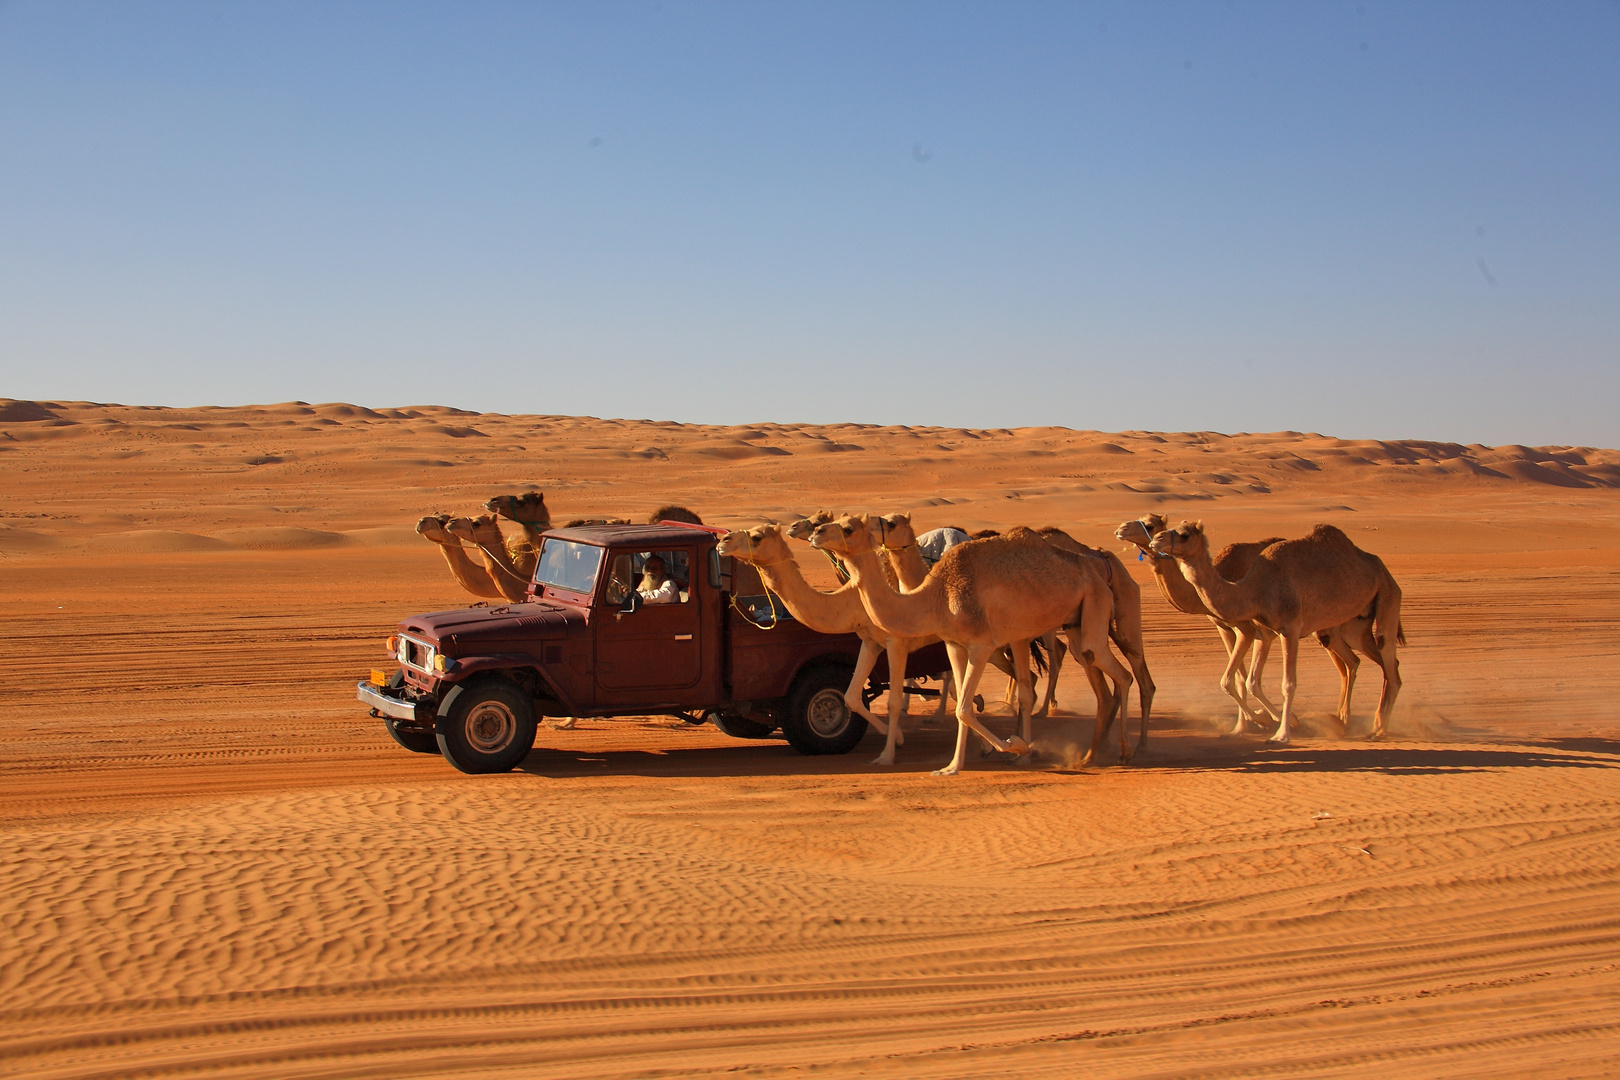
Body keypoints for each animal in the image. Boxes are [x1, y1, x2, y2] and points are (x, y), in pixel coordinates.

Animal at [806, 518, 1127, 773]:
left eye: (848, 527)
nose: (816, 533)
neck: (935, 595)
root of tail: (1096, 567)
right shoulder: (953, 645)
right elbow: (963, 702)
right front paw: (953, 766)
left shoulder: (980, 645)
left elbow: (963, 707)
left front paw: (1015, 745)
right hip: (1063, 625)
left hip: (1093, 603)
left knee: (1115, 670)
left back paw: (1122, 751)